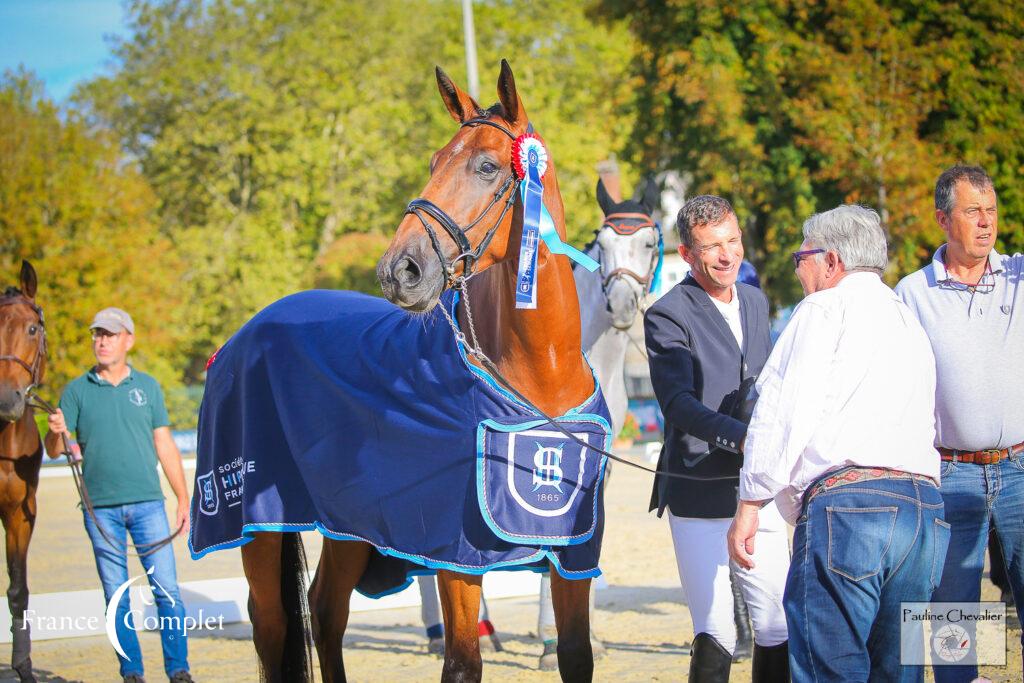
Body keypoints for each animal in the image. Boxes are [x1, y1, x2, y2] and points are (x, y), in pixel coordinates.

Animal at [199, 61, 606, 679]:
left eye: (487, 166)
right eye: (435, 161)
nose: (399, 269)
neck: (541, 381)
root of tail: (237, 342)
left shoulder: (572, 559)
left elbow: (576, 655)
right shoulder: (457, 562)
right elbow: (462, 663)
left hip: (346, 524)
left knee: (326, 611)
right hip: (256, 526)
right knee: (272, 628)